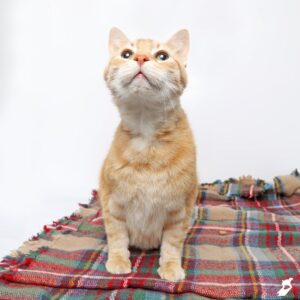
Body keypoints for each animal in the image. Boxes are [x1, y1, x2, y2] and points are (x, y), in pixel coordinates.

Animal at [99, 28, 198, 282]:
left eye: (162, 56)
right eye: (126, 53)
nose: (141, 58)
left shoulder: (179, 211)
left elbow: (172, 244)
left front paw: (171, 267)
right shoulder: (113, 204)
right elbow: (117, 237)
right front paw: (118, 260)